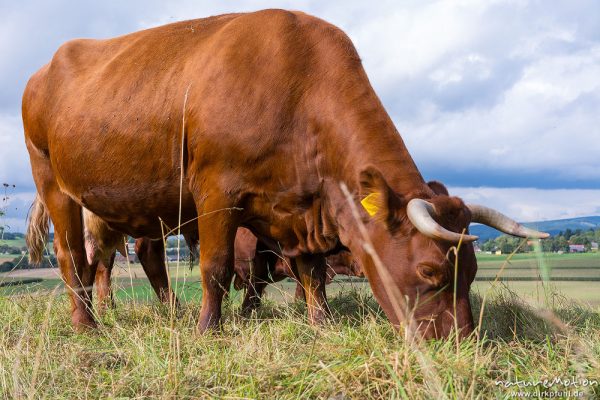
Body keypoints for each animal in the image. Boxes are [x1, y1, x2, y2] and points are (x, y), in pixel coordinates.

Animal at [24, 10, 548, 338]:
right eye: (430, 270)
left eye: (472, 272)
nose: (461, 343)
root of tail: (43, 70)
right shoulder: (216, 191)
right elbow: (216, 267)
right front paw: (208, 329)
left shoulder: (301, 207)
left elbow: (310, 272)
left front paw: (321, 322)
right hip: (53, 182)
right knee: (73, 258)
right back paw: (88, 324)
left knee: (132, 256)